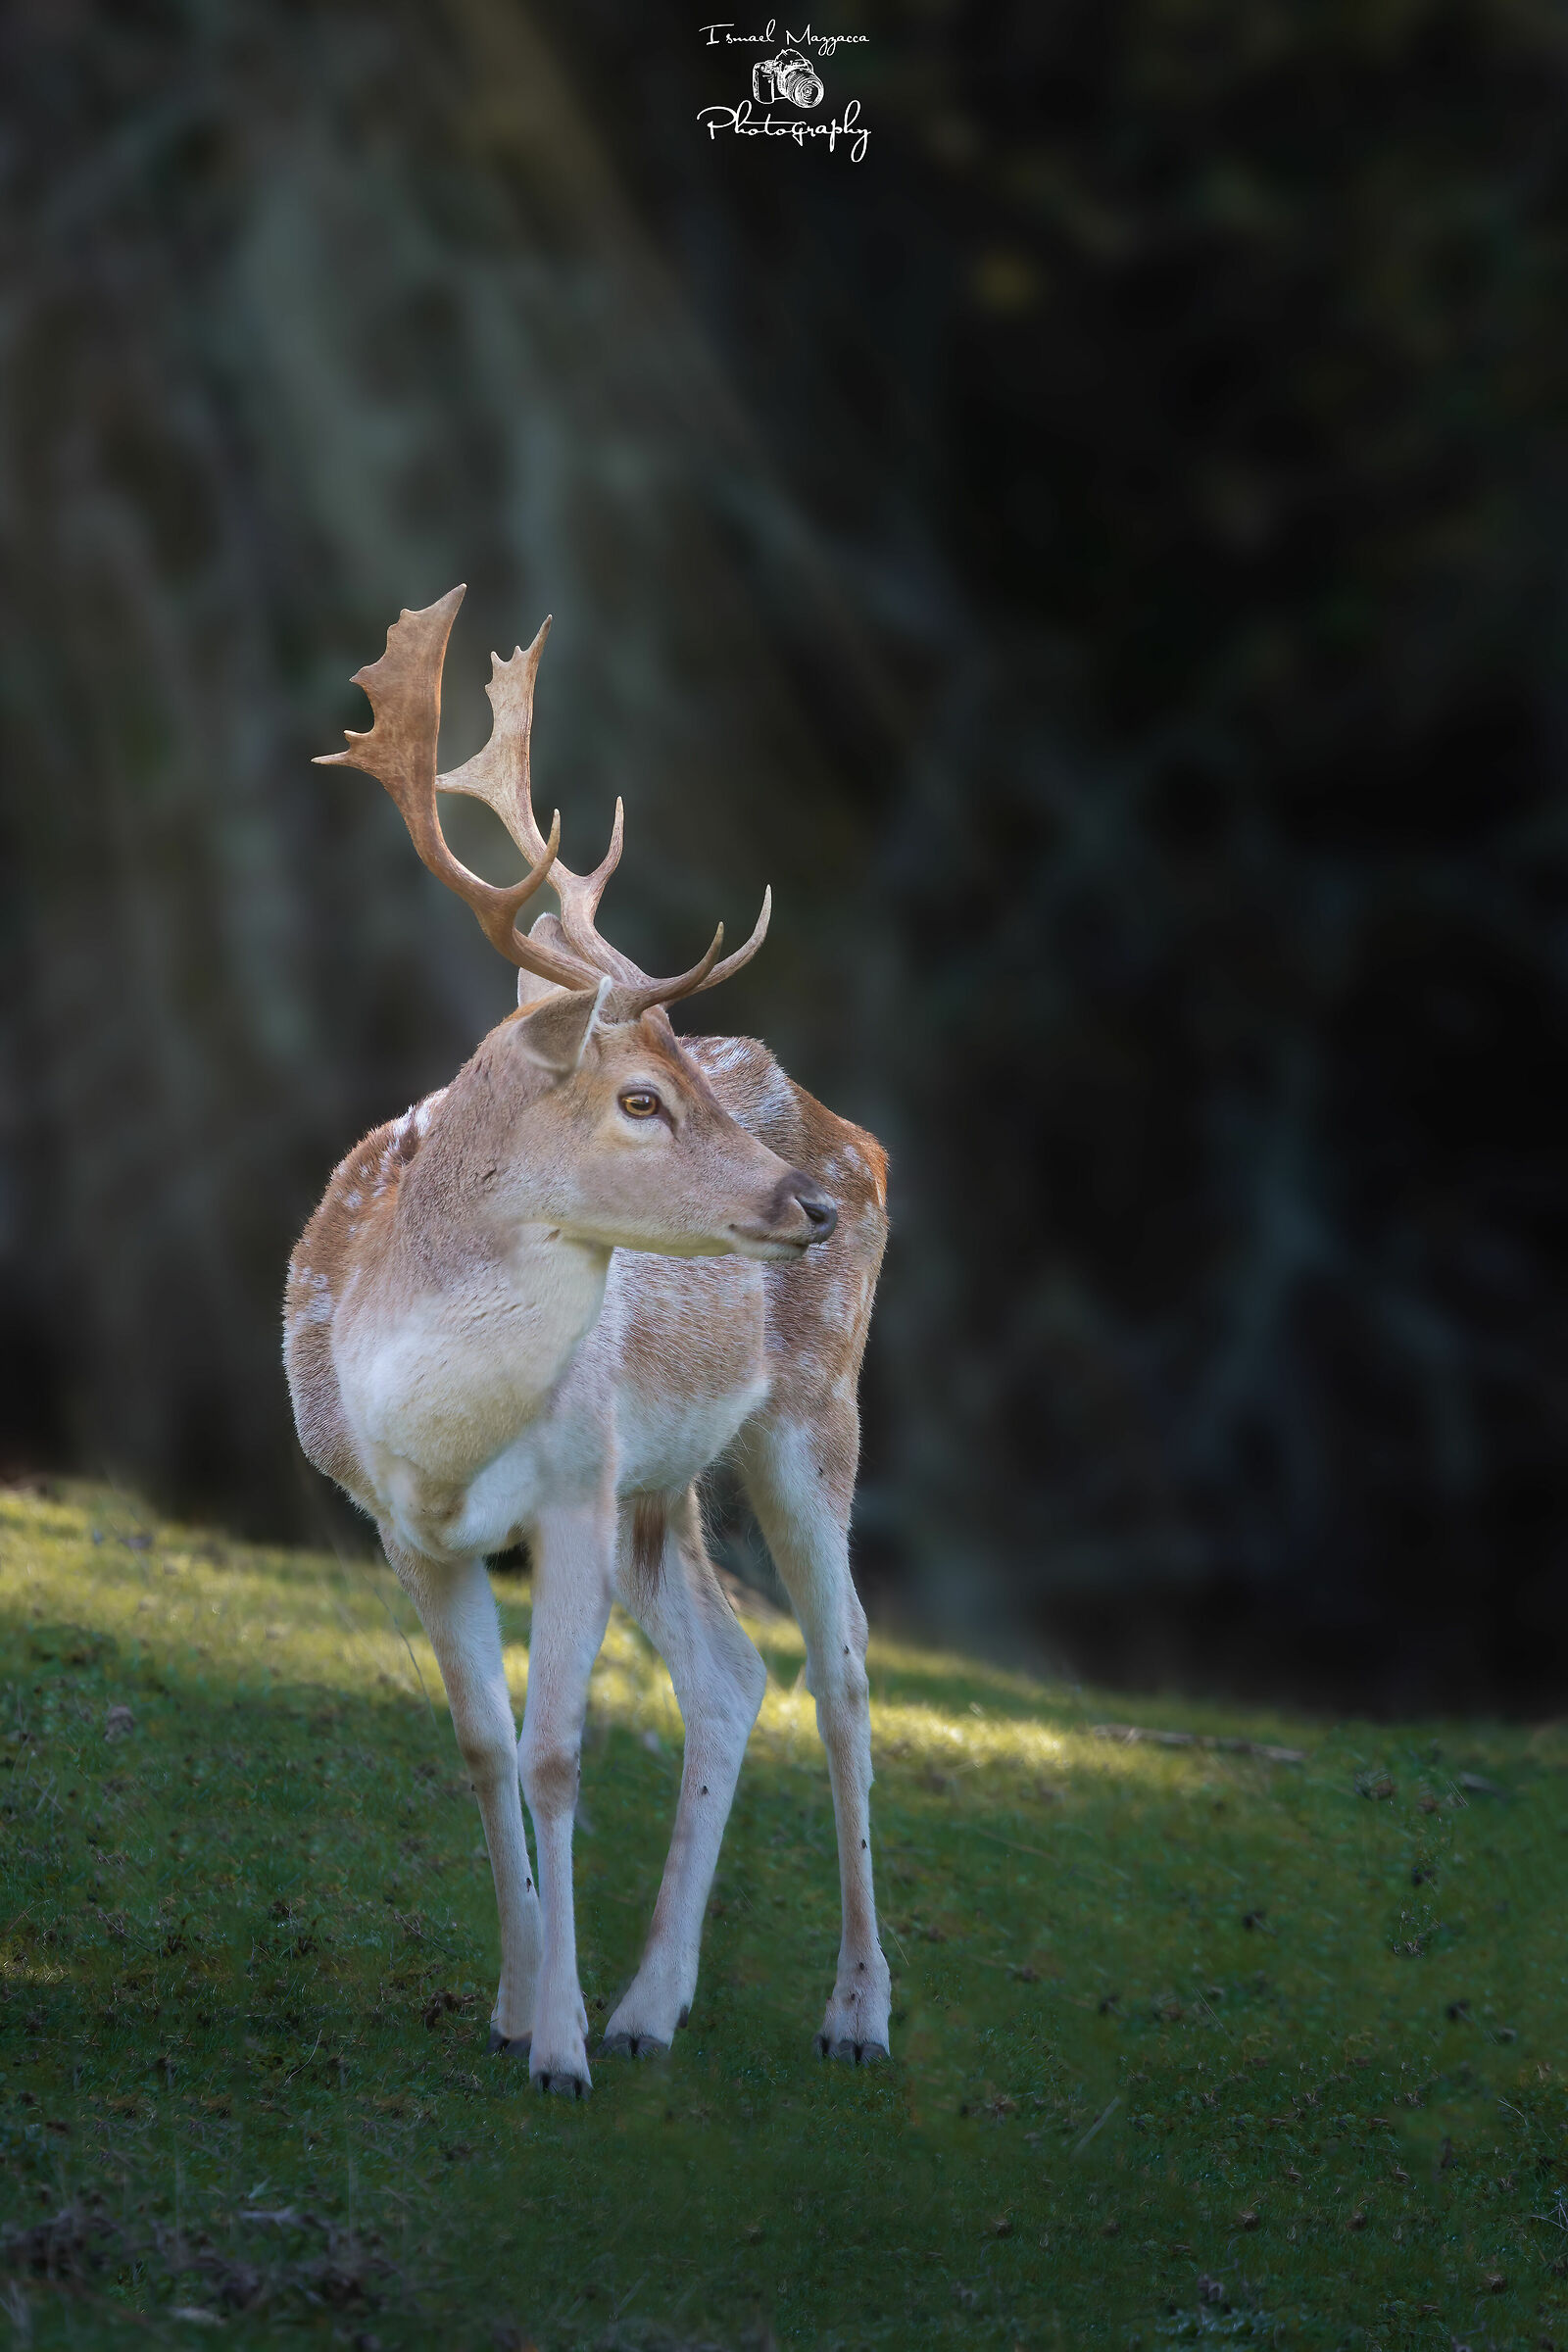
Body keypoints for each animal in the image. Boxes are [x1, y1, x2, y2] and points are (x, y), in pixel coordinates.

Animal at [284, 587, 890, 2095]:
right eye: (639, 1099)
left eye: (680, 1088)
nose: (807, 1208)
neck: (437, 1431)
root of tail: (860, 1134)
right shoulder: (400, 1527)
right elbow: (484, 1746)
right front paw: (517, 2004)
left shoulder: (569, 1484)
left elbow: (559, 1750)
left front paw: (554, 2049)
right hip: (659, 1486)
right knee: (730, 1674)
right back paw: (648, 2005)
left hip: (807, 1411)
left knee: (845, 1669)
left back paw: (854, 2013)